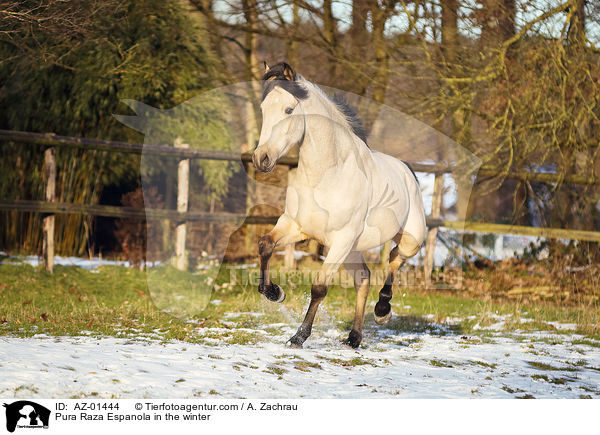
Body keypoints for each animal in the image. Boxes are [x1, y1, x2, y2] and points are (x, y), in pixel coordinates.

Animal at [253, 61, 426, 350]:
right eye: (263, 109)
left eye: (289, 110)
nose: (261, 158)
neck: (327, 175)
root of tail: (407, 171)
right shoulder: (296, 226)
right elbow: (265, 244)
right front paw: (274, 293)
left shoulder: (341, 240)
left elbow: (319, 288)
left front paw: (298, 337)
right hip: (353, 251)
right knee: (364, 277)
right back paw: (354, 338)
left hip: (409, 240)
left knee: (394, 258)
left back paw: (382, 310)